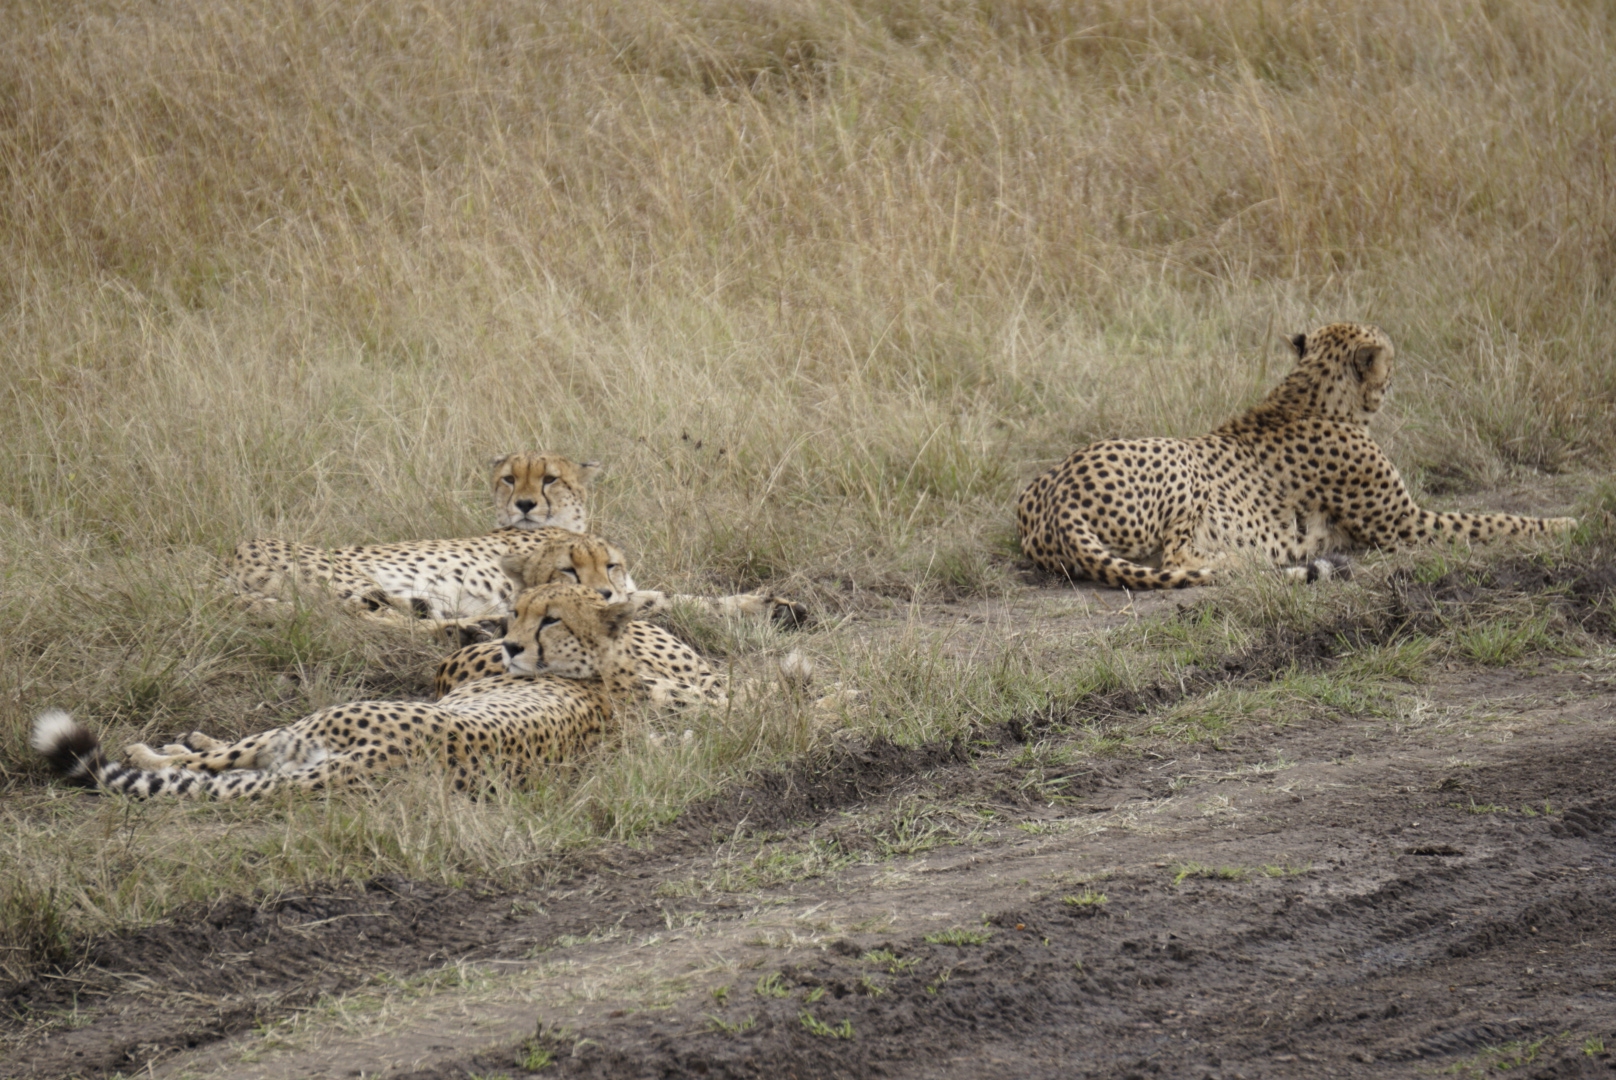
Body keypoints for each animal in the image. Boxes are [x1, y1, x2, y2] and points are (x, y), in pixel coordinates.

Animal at [31, 582, 636, 801]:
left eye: (551, 619)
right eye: (520, 610)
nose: (508, 644)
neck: (591, 675)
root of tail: (391, 756)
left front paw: (179, 746)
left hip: (303, 728)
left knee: (211, 764)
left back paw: (152, 750)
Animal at [1014, 323, 1570, 591]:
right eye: (1388, 358)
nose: (1395, 376)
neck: (1313, 391)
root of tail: (1056, 502)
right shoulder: (1404, 525)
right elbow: (1493, 518)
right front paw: (1565, 523)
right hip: (1178, 460)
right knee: (1176, 558)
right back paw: (1252, 559)